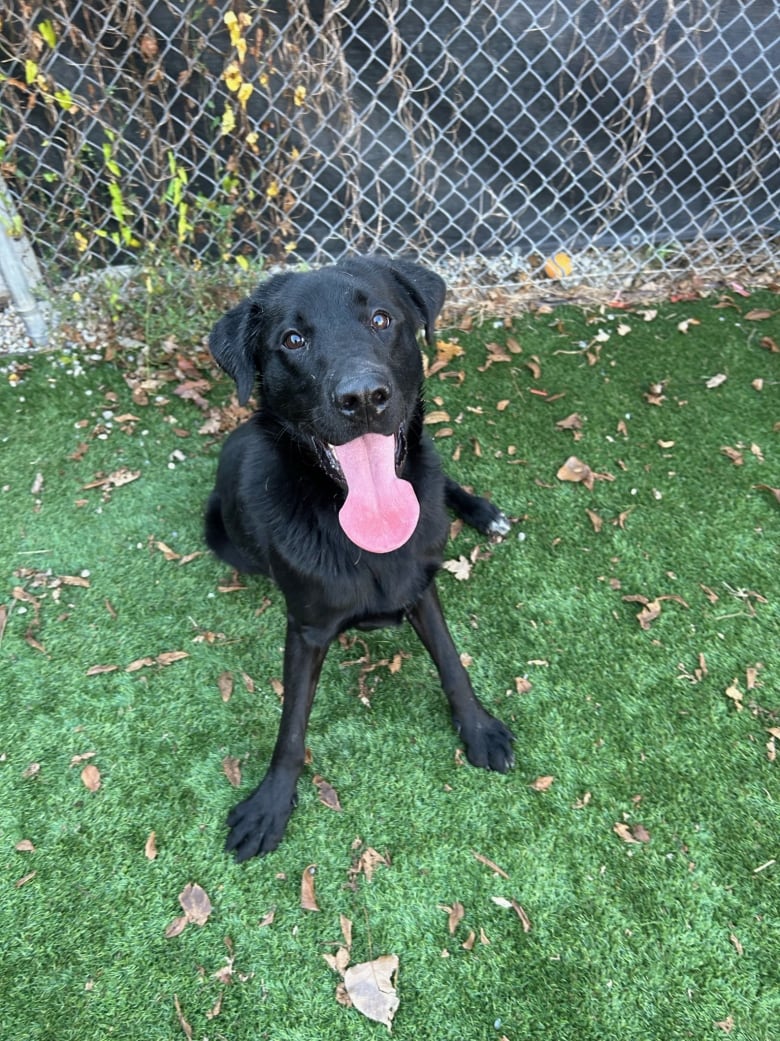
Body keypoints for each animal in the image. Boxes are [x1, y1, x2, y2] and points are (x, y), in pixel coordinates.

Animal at [204, 256, 514, 857]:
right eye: (293, 339)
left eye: (381, 319)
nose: (364, 396)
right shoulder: (305, 629)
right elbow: (292, 723)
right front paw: (272, 802)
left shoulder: (422, 588)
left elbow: (452, 663)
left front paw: (478, 728)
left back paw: (482, 511)